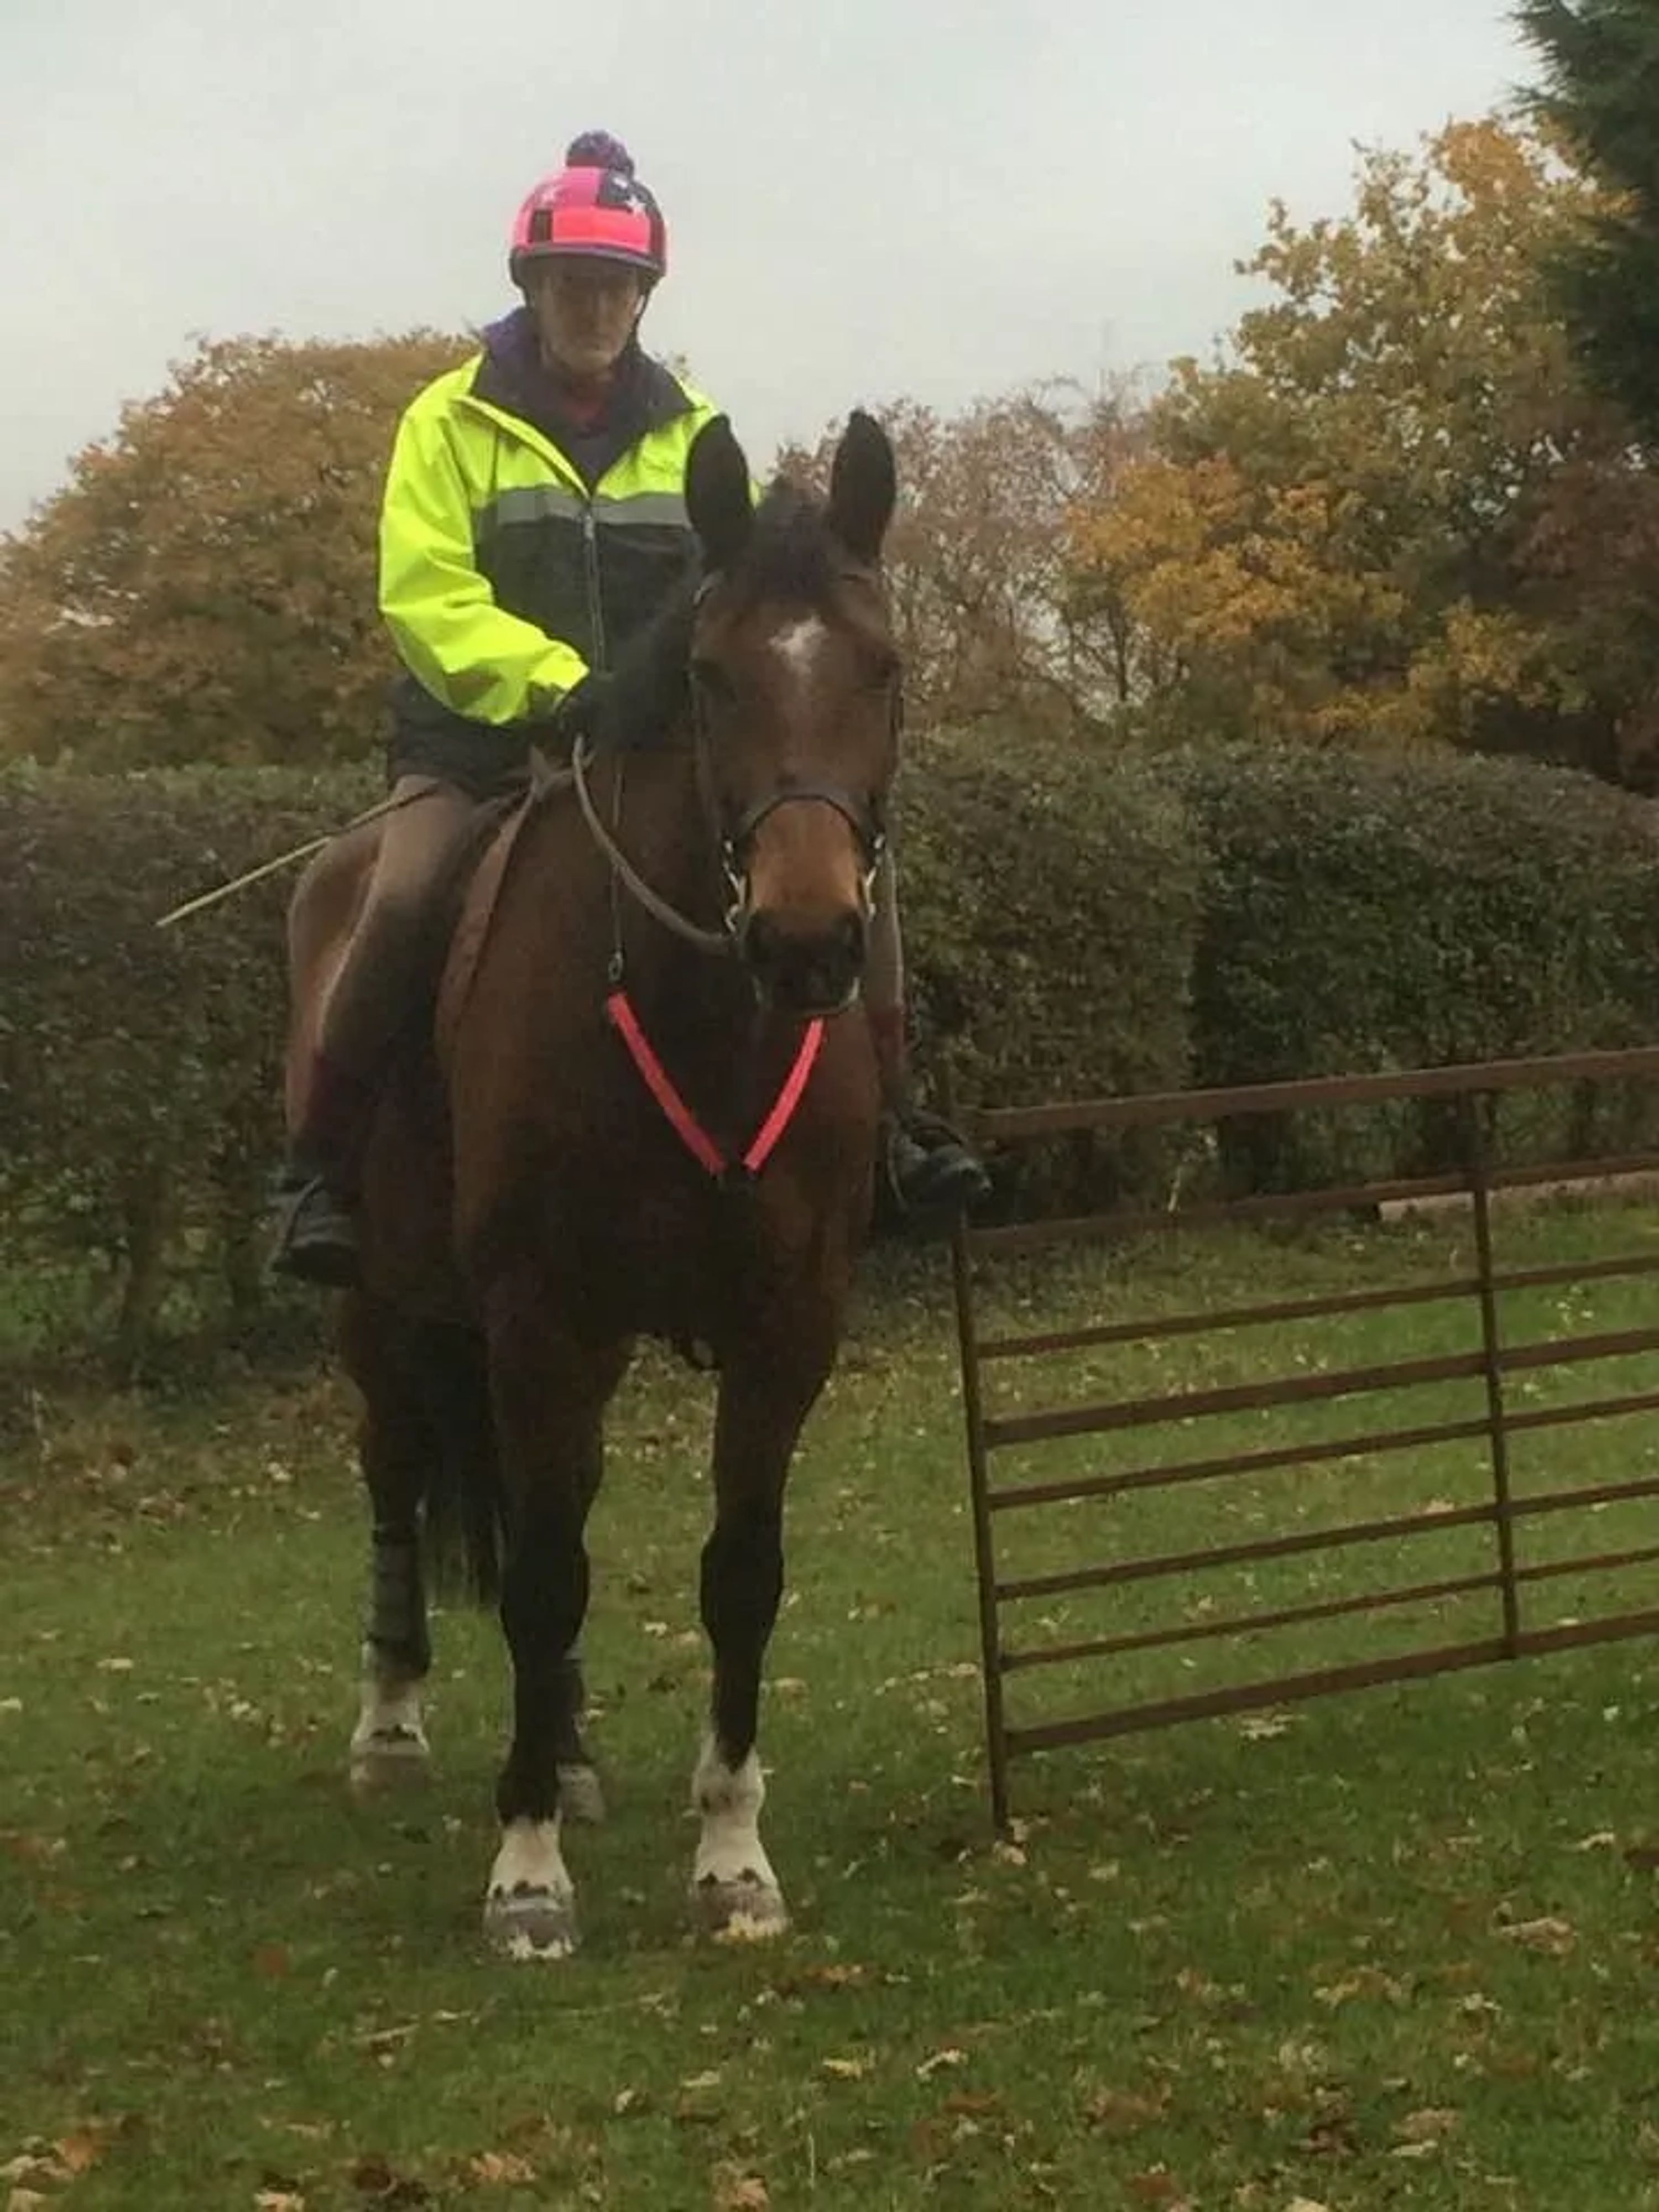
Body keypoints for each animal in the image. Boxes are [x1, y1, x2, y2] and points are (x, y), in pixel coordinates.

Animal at [287, 411, 902, 1959]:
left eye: (882, 668)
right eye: (709, 675)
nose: (809, 940)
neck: (703, 1017)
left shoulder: (783, 1331)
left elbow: (736, 1575)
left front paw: (731, 1851)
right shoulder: (539, 1319)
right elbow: (544, 1574)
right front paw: (526, 1872)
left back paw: (564, 1748)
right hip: (386, 1314)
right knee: (403, 1470)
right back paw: (396, 1726)